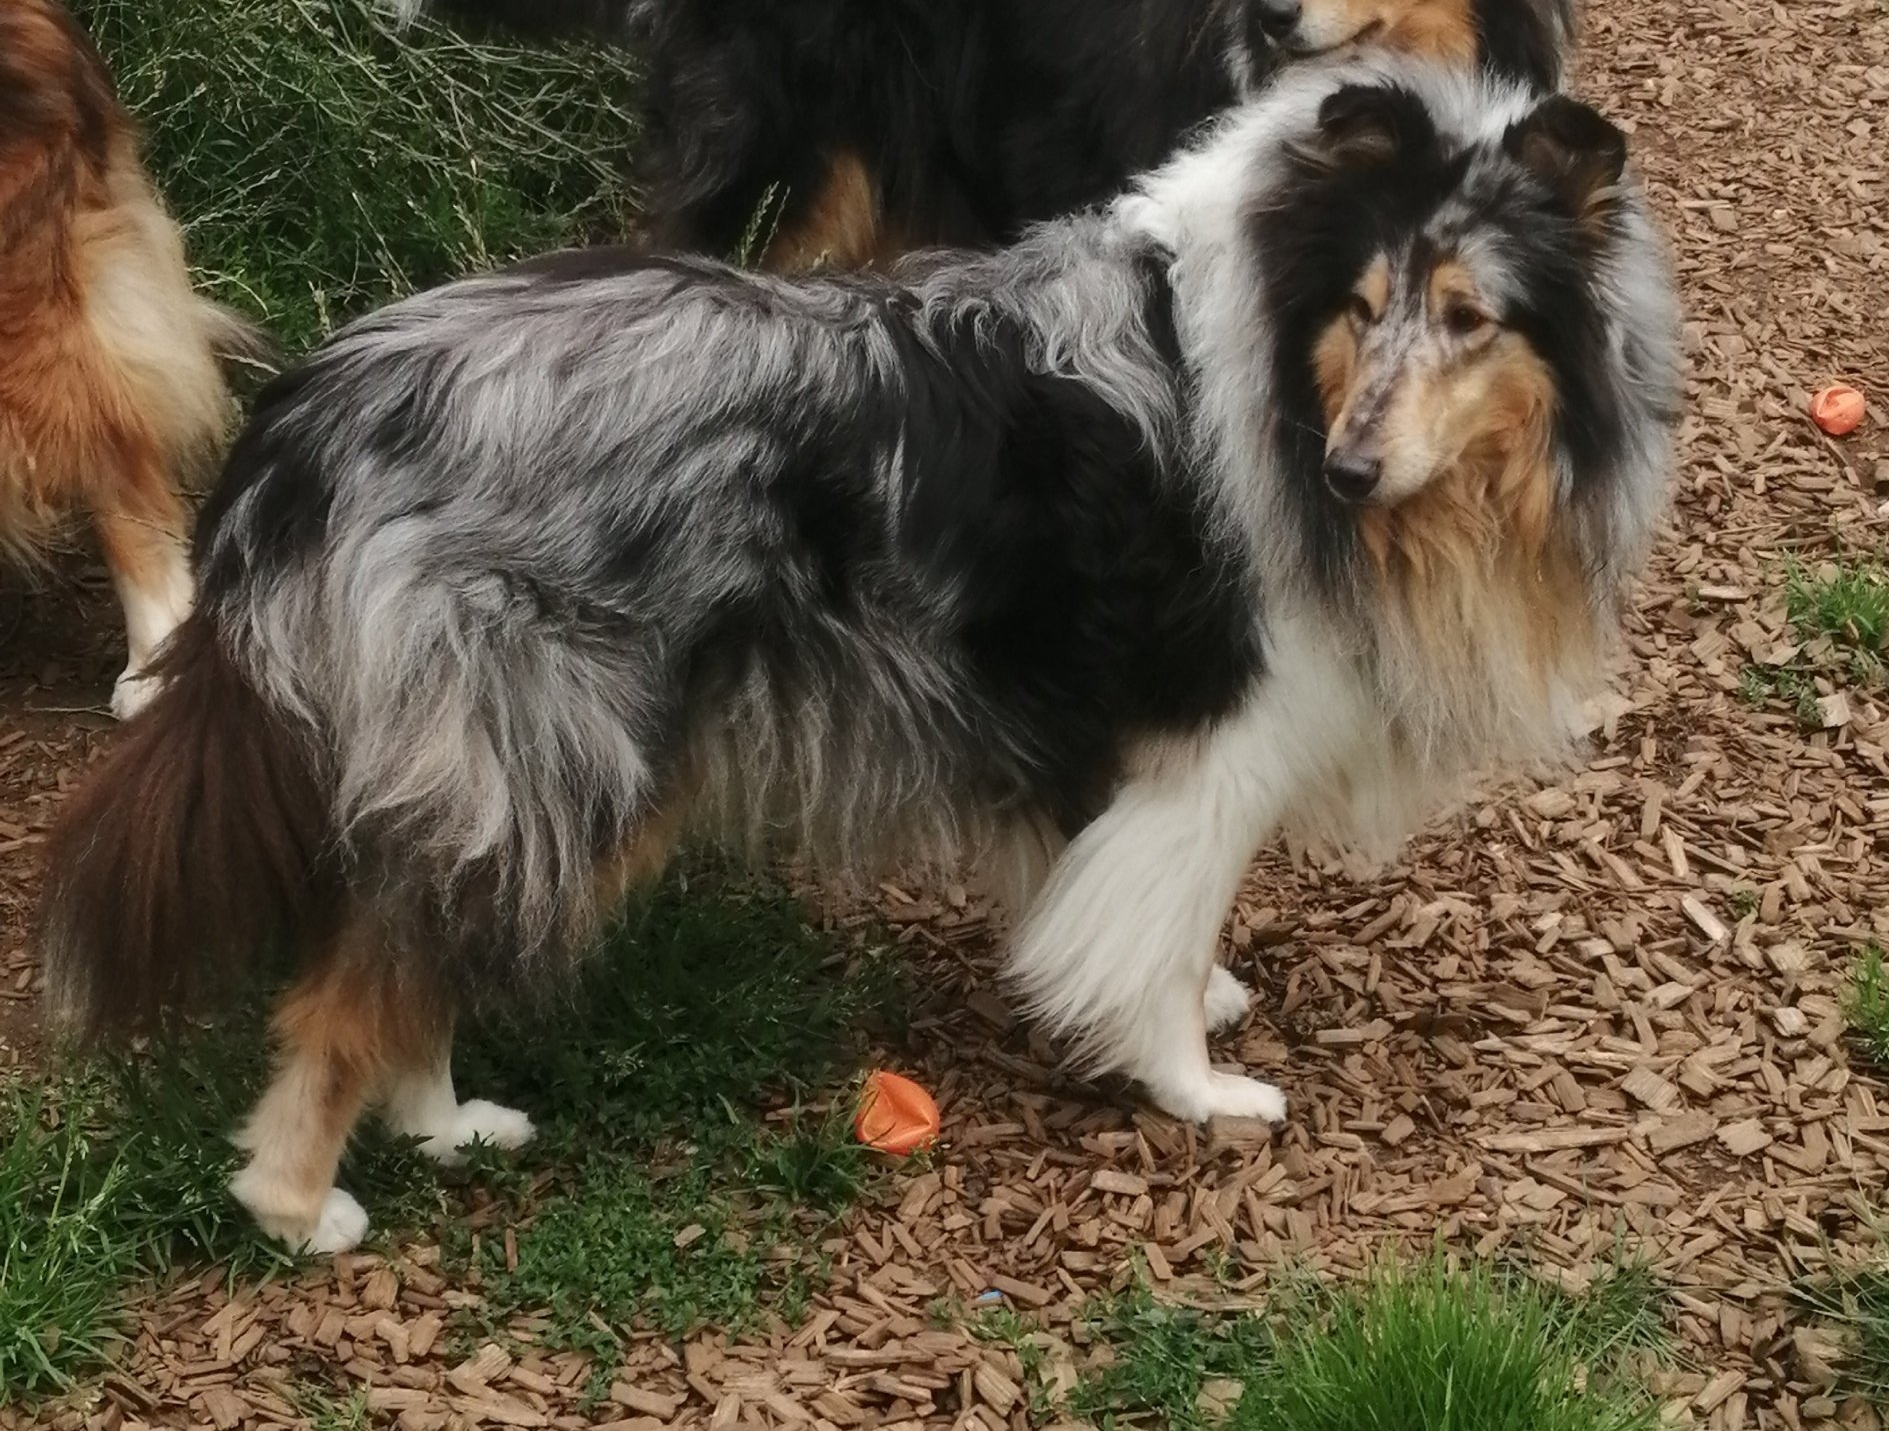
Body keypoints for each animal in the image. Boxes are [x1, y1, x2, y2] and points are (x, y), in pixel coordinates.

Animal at [40, 56, 1679, 1253]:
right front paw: (1195, 1080)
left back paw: (444, 1126)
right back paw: (301, 1206)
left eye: (1470, 318)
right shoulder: (1208, 736)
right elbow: (1155, 930)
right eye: (1364, 306)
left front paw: (1189, 997)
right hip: (557, 746)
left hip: (511, 772)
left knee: (400, 946)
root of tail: (313, 415)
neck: (1270, 350)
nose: (1346, 475)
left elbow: (1116, 897)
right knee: (354, 986)